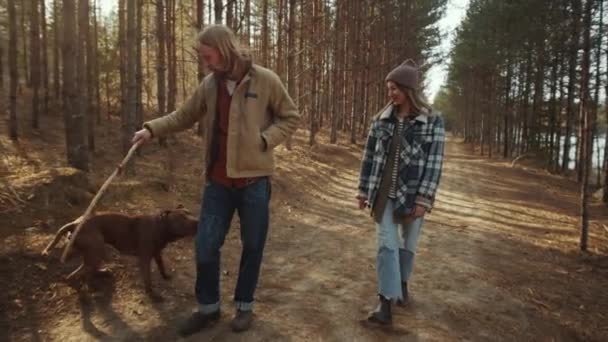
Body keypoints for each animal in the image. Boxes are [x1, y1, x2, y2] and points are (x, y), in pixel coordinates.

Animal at [42, 206, 197, 300]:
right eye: (182, 217)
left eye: (189, 213)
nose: (197, 221)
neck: (160, 227)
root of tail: (75, 224)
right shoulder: (145, 258)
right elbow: (147, 279)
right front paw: (153, 295)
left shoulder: (157, 253)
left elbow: (161, 266)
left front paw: (165, 276)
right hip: (97, 249)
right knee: (81, 272)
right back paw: (87, 292)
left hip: (89, 250)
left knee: (83, 268)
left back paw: (99, 275)